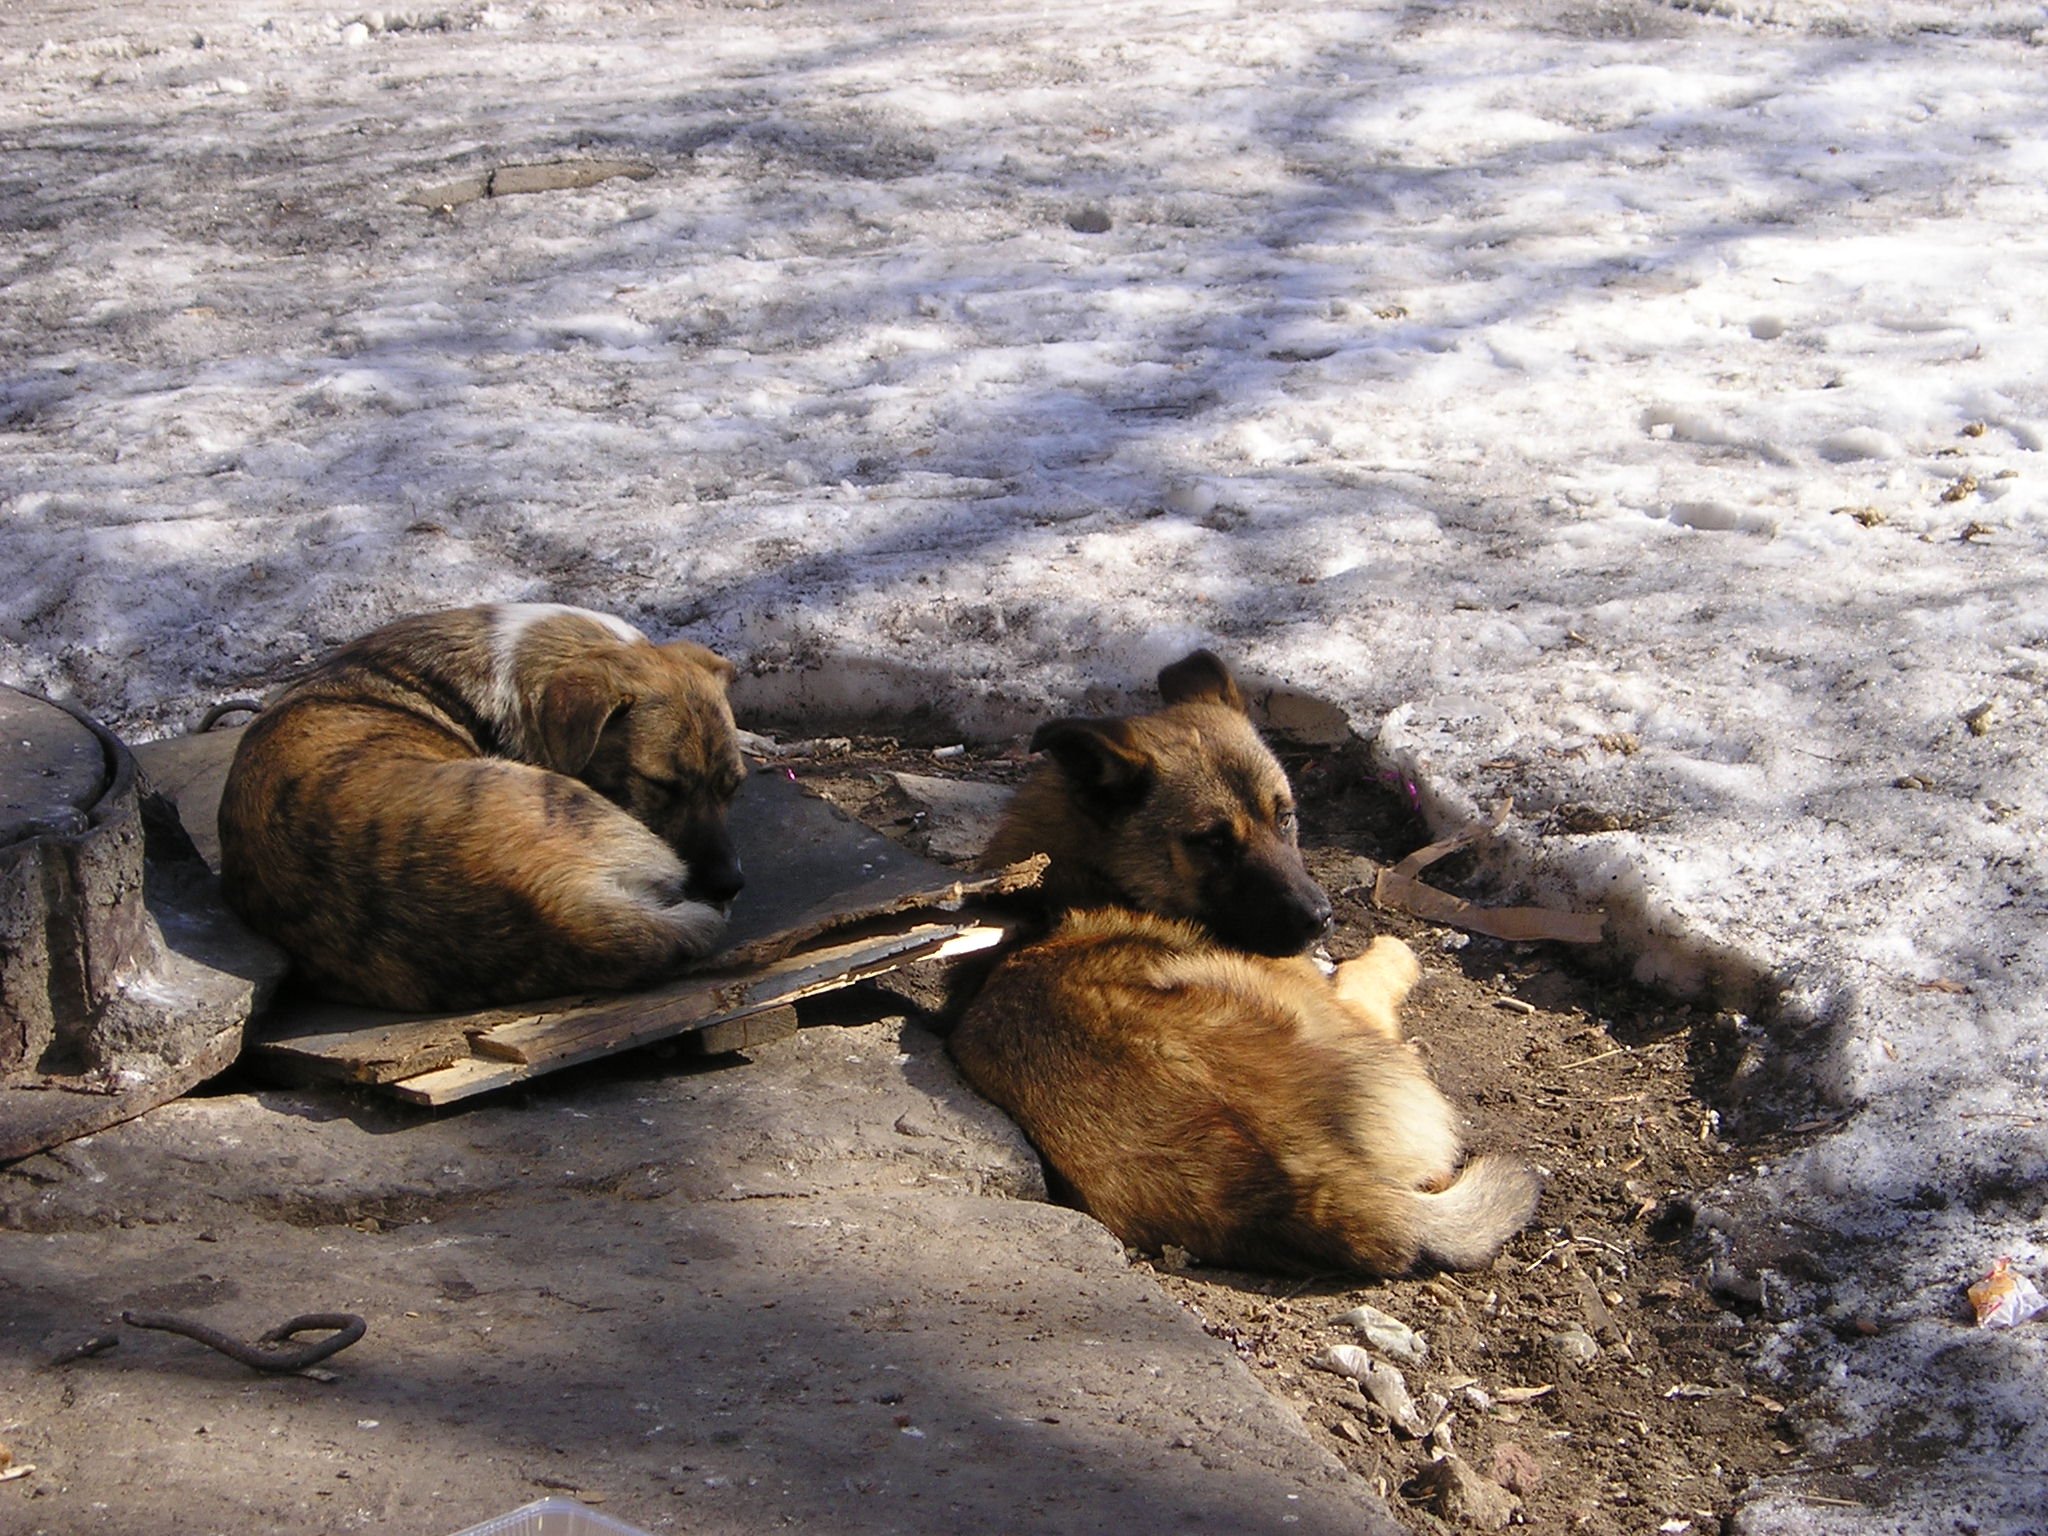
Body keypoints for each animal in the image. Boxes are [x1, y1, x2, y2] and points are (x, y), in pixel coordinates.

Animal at [942, 655, 1540, 1277]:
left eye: (1286, 818)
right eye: (1212, 841)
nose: (1320, 918)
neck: (1077, 884)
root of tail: (1296, 1182)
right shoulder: (1344, 1000)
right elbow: (1364, 969)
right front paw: (1390, 950)